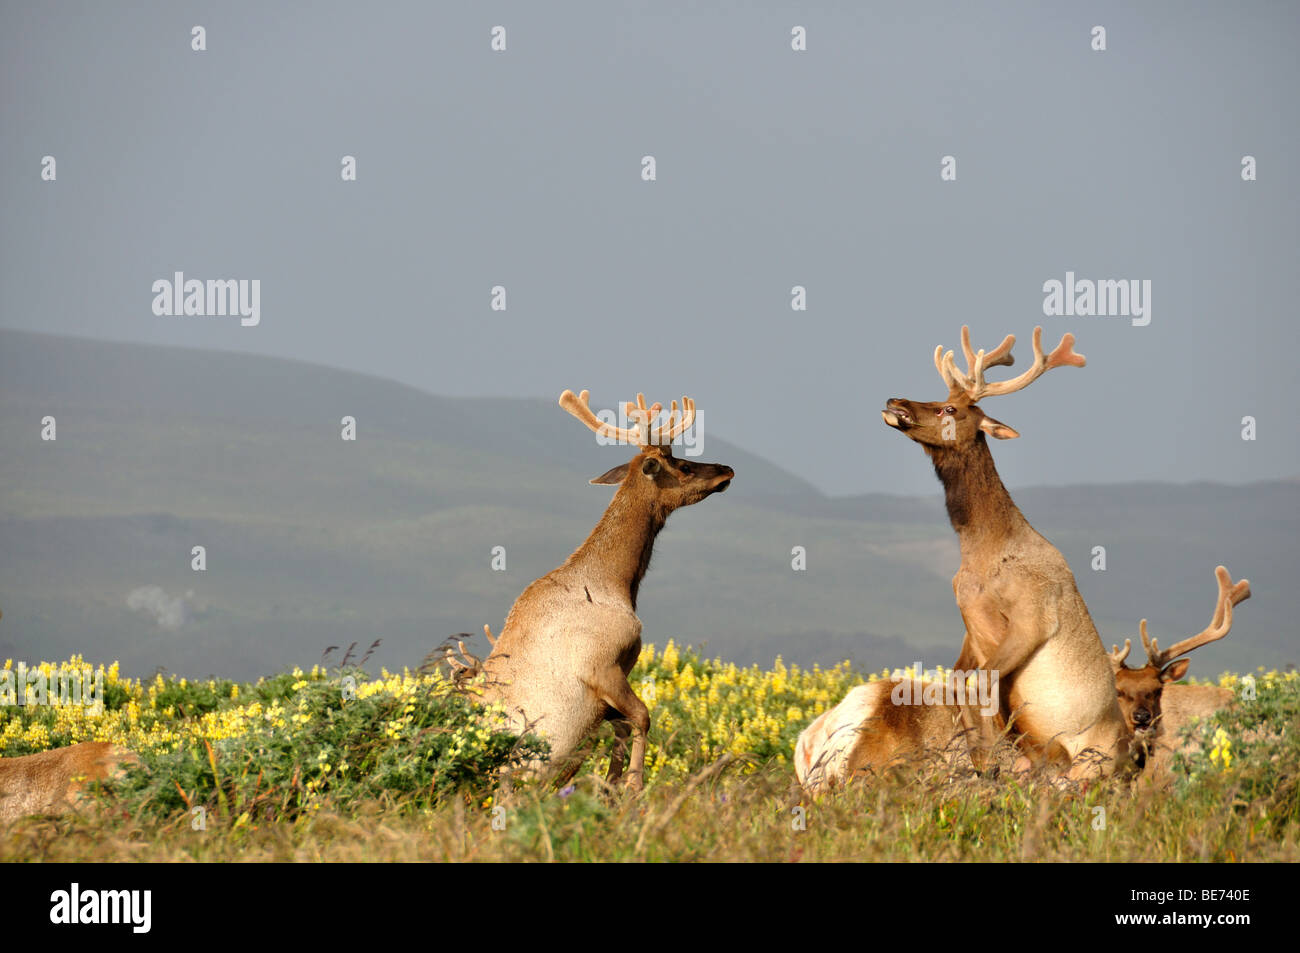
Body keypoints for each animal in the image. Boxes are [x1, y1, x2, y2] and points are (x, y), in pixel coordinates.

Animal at [449, 387, 738, 790]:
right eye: (680, 465)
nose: (726, 469)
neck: (616, 582)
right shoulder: (599, 665)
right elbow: (643, 717)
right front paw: (632, 785)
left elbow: (622, 728)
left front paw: (614, 784)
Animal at [883, 327, 1138, 780]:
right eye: (940, 394)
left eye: (950, 407)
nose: (897, 400)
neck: (981, 555)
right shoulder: (970, 626)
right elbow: (956, 682)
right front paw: (978, 757)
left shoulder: (1031, 618)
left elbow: (982, 684)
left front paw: (987, 758)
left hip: (1094, 766)